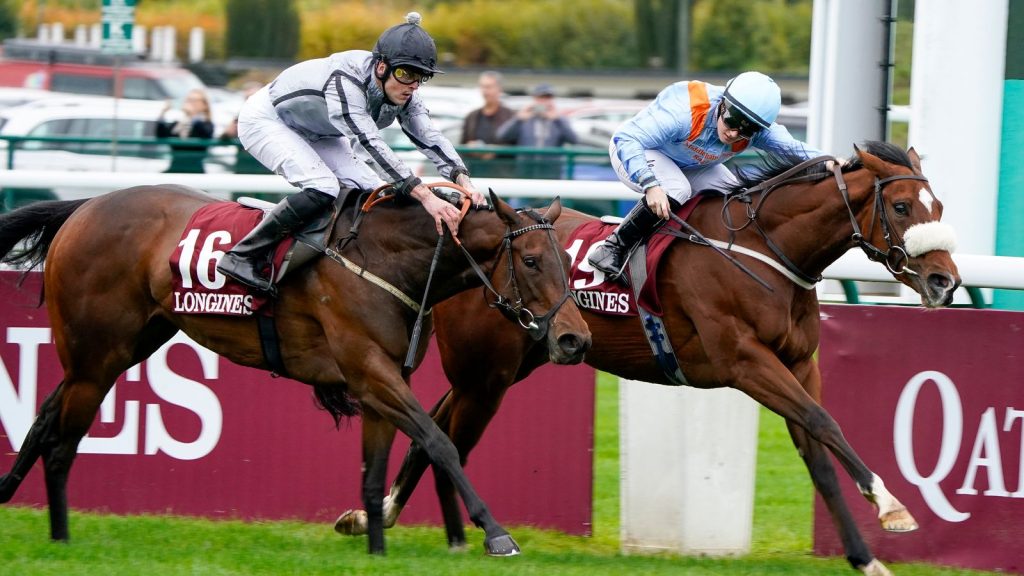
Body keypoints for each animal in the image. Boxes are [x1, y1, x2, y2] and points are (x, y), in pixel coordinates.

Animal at [0, 181, 593, 553]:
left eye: (569, 263)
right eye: (532, 261)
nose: (575, 339)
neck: (391, 259)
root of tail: (85, 207)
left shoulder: (379, 381)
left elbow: (374, 474)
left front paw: (373, 545)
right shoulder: (371, 370)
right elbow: (438, 442)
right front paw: (496, 533)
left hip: (120, 348)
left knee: (44, 420)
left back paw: (13, 498)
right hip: (96, 356)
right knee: (61, 444)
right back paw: (61, 537)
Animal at [333, 141, 958, 569]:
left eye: (939, 204)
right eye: (903, 206)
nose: (944, 281)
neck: (763, 251)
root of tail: (462, 232)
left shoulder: (800, 364)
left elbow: (819, 451)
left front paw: (864, 557)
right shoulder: (745, 362)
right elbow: (824, 422)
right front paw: (893, 507)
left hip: (514, 363)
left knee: (437, 423)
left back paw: (397, 518)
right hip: (486, 371)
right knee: (440, 429)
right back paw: (409, 519)